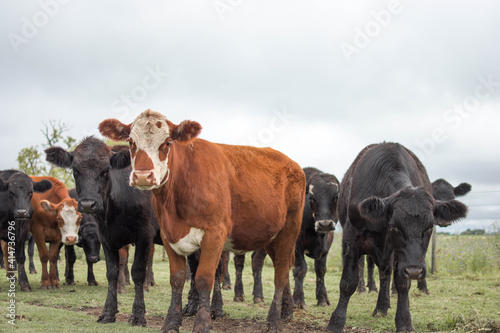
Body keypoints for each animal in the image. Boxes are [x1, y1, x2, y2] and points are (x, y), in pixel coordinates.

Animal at [45, 137, 162, 324]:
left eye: (106, 170)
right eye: (75, 170)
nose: (88, 204)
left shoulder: (145, 236)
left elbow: (137, 272)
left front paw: (137, 315)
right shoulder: (106, 239)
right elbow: (112, 273)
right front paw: (108, 312)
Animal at [98, 109, 304, 332]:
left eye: (168, 142)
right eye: (131, 142)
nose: (143, 176)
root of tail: (293, 164)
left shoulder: (214, 234)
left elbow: (204, 278)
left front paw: (202, 323)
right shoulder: (168, 235)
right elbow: (177, 279)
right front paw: (171, 322)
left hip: (289, 231)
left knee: (280, 274)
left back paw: (273, 320)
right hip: (271, 237)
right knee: (283, 268)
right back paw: (286, 312)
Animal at [328, 143, 468, 332]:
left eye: (429, 227)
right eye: (395, 226)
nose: (415, 271)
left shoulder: (402, 257)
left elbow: (402, 283)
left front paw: (404, 321)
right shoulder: (351, 238)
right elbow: (348, 281)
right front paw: (336, 321)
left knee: (386, 273)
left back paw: (382, 306)